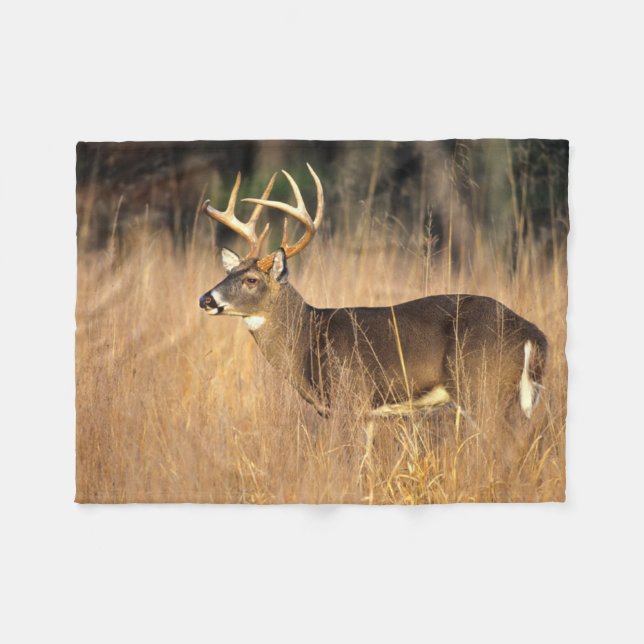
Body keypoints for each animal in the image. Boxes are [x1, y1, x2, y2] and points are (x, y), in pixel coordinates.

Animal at [198, 165, 548, 424]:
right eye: (227, 274)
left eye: (252, 279)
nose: (206, 299)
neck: (309, 338)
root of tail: (532, 333)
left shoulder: (350, 397)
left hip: (481, 385)